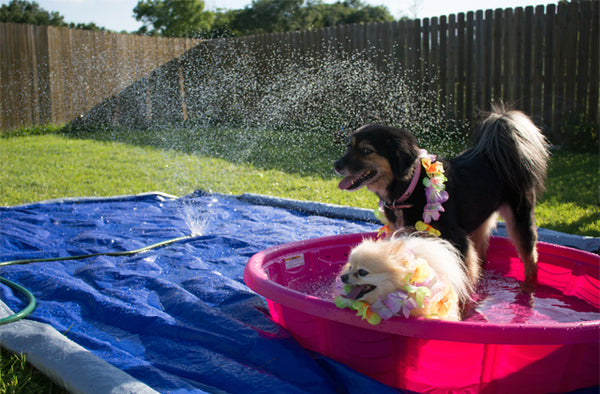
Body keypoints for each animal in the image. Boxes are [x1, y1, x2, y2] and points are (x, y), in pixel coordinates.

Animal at [336, 106, 552, 290]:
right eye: (348, 146)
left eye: (366, 150)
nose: (336, 165)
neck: (409, 187)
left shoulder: (458, 240)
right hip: (480, 222)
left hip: (520, 221)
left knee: (531, 261)